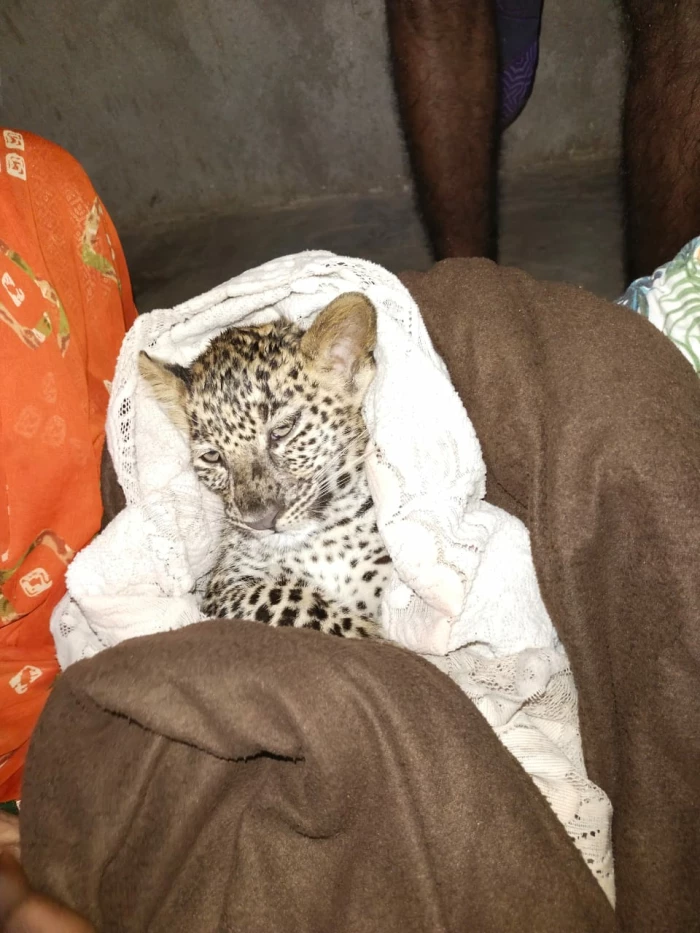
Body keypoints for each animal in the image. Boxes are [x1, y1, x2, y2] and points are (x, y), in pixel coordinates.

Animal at [139, 292, 392, 639]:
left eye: (282, 430)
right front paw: (371, 634)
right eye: (212, 457)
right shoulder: (223, 590)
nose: (261, 521)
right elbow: (284, 596)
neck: (321, 546)